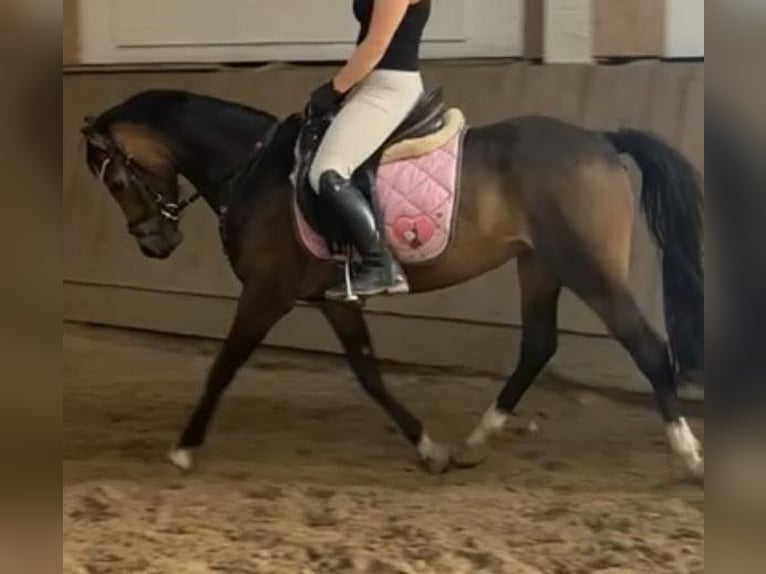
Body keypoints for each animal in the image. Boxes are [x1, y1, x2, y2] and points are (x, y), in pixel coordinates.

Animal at [80, 88, 704, 479]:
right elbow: (368, 372)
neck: (255, 169)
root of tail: (602, 139)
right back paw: (475, 443)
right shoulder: (332, 299)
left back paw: (688, 456)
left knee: (649, 347)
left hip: (588, 267)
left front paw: (184, 450)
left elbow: (223, 365)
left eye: (115, 180)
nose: (156, 243)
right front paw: (429, 450)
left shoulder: (267, 292)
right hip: (539, 265)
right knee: (538, 346)